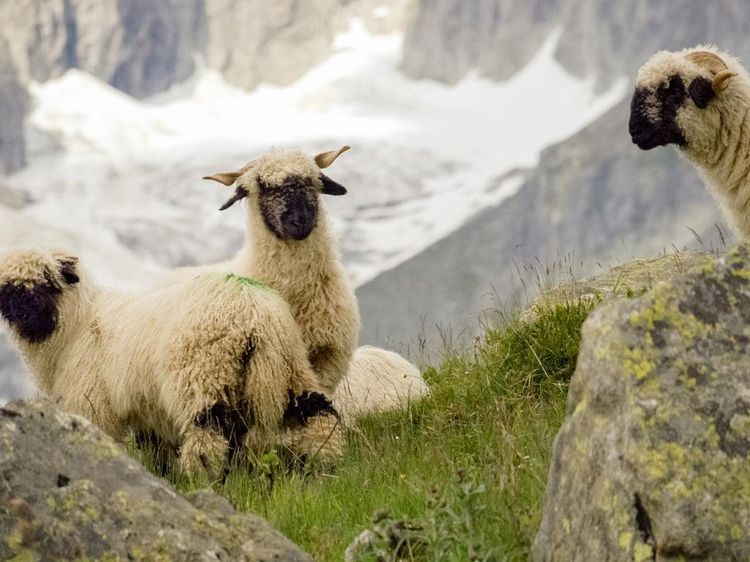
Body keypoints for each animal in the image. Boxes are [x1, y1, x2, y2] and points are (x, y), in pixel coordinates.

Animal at [0, 249, 343, 476]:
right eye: (8, 291)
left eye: (48, 283)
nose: (25, 316)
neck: (75, 326)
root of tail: (254, 315)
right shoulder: (147, 410)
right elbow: (156, 454)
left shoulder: (92, 404)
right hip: (291, 370)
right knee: (320, 414)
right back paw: (322, 466)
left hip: (204, 379)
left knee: (209, 441)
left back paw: (203, 480)